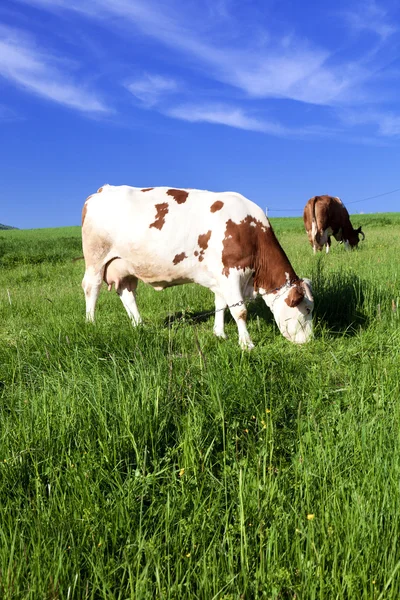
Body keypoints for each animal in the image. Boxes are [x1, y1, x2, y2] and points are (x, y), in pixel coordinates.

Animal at [81, 185, 314, 350]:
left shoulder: (220, 276)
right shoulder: (230, 272)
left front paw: (220, 333)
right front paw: (246, 344)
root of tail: (102, 190)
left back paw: (140, 325)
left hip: (126, 265)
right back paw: (91, 323)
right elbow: (239, 310)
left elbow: (221, 305)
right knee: (91, 287)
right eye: (307, 309)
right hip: (96, 258)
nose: (311, 340)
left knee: (127, 293)